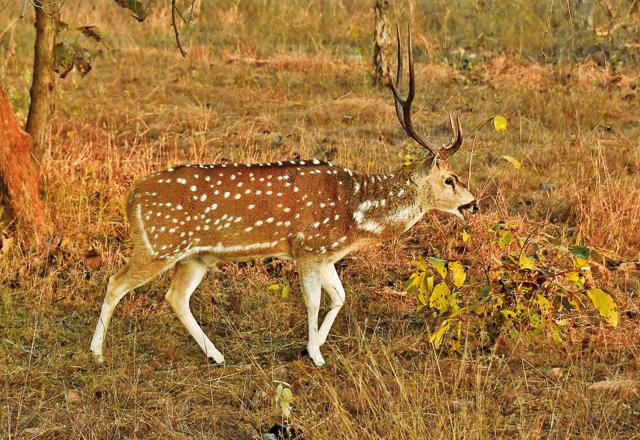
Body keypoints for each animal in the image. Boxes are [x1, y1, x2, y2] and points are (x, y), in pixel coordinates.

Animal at [90, 27, 479, 368]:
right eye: (449, 179)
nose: (472, 203)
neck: (354, 213)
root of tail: (131, 197)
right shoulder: (308, 246)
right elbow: (313, 301)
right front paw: (317, 355)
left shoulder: (325, 253)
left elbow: (339, 297)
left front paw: (313, 346)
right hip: (159, 245)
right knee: (116, 282)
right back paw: (97, 354)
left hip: (195, 256)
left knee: (176, 297)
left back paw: (217, 355)